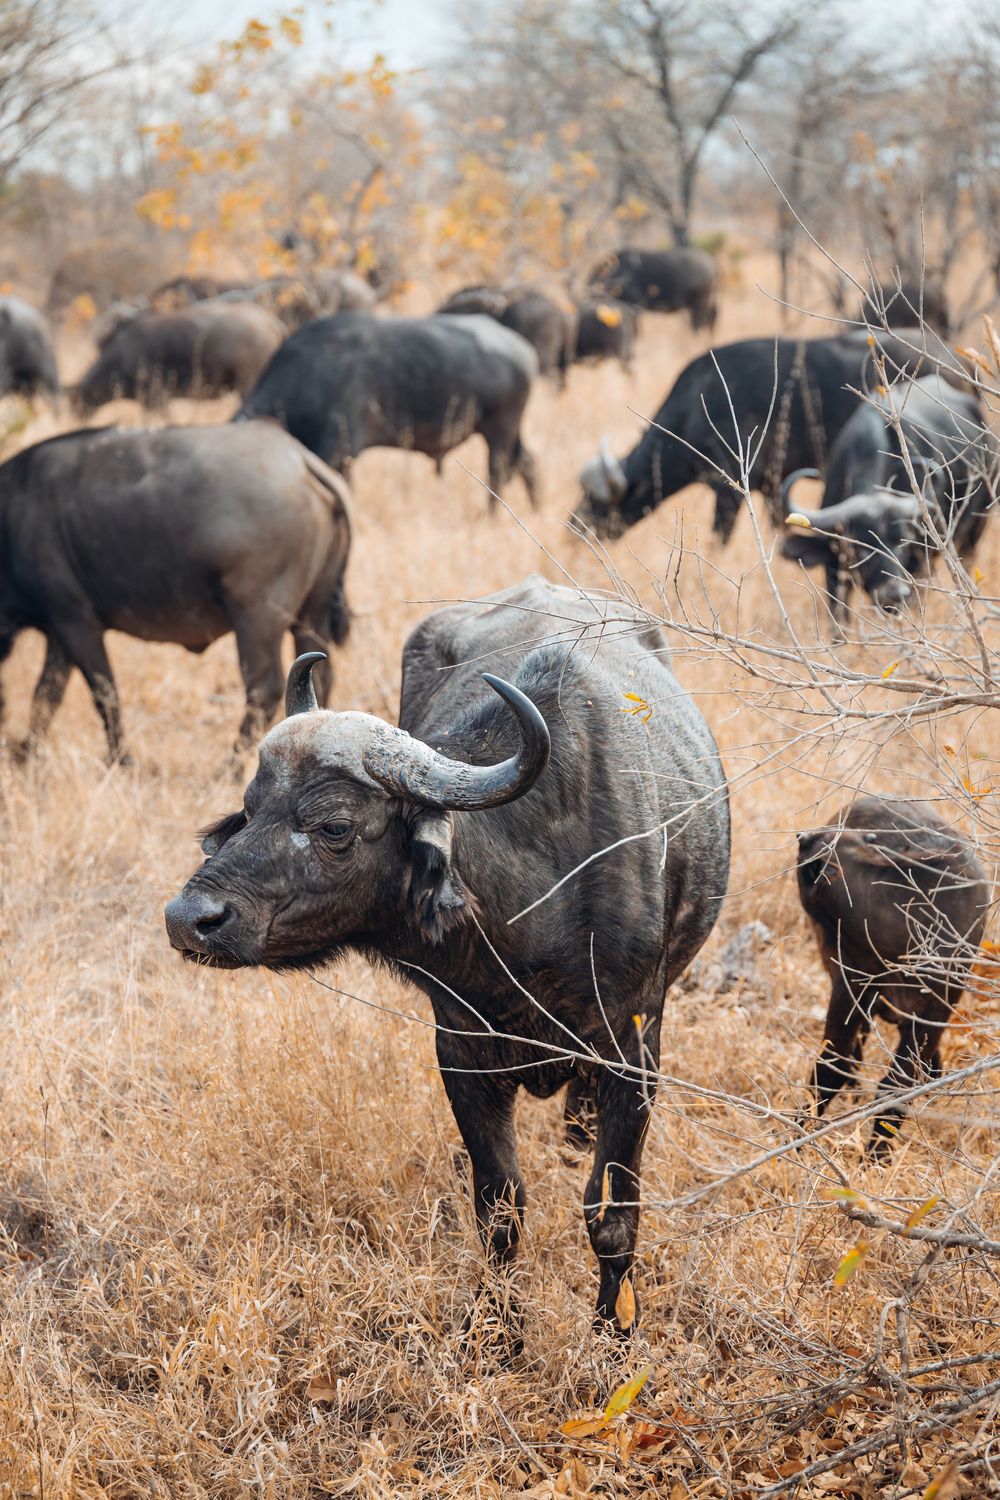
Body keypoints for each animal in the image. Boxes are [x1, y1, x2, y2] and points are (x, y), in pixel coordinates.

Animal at [0, 423, 351, 763]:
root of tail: (300, 460)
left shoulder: (76, 623)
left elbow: (104, 694)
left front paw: (121, 761)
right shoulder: (58, 634)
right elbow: (46, 696)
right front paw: (24, 755)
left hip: (257, 617)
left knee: (263, 690)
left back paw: (230, 767)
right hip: (311, 614)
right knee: (319, 677)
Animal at [165, 576, 730, 1339]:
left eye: (334, 825)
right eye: (251, 808)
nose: (189, 920)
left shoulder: (634, 1051)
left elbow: (612, 1216)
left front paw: (614, 1334)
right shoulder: (461, 1052)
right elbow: (500, 1209)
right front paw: (499, 1336)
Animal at [238, 311, 540, 507]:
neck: (308, 375)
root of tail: (525, 350)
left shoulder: (337, 450)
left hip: (500, 431)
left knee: (497, 472)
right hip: (511, 432)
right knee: (527, 462)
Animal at [797, 796, 990, 1157]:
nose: (804, 836)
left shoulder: (931, 1015)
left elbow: (895, 1088)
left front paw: (875, 1158)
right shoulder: (851, 988)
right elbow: (828, 1070)